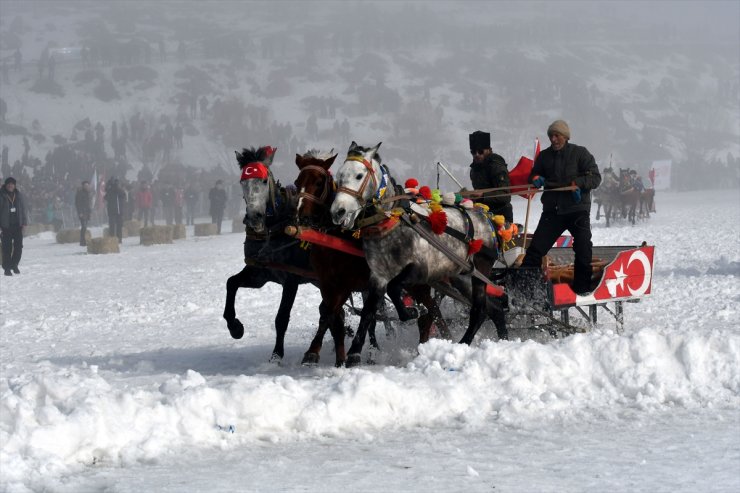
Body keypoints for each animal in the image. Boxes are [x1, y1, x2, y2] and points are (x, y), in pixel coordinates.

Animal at [221, 145, 316, 362]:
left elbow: (281, 318)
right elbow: (231, 283)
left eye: (264, 181)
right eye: (242, 181)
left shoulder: (291, 279)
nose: (254, 218)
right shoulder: (259, 274)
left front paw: (276, 355)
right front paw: (235, 327)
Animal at [294, 147, 446, 366]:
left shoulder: (347, 284)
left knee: (430, 312)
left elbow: (343, 315)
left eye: (319, 181)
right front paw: (323, 353)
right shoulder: (329, 284)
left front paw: (332, 352)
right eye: (297, 182)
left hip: (417, 283)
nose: (303, 217)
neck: (333, 239)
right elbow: (329, 314)